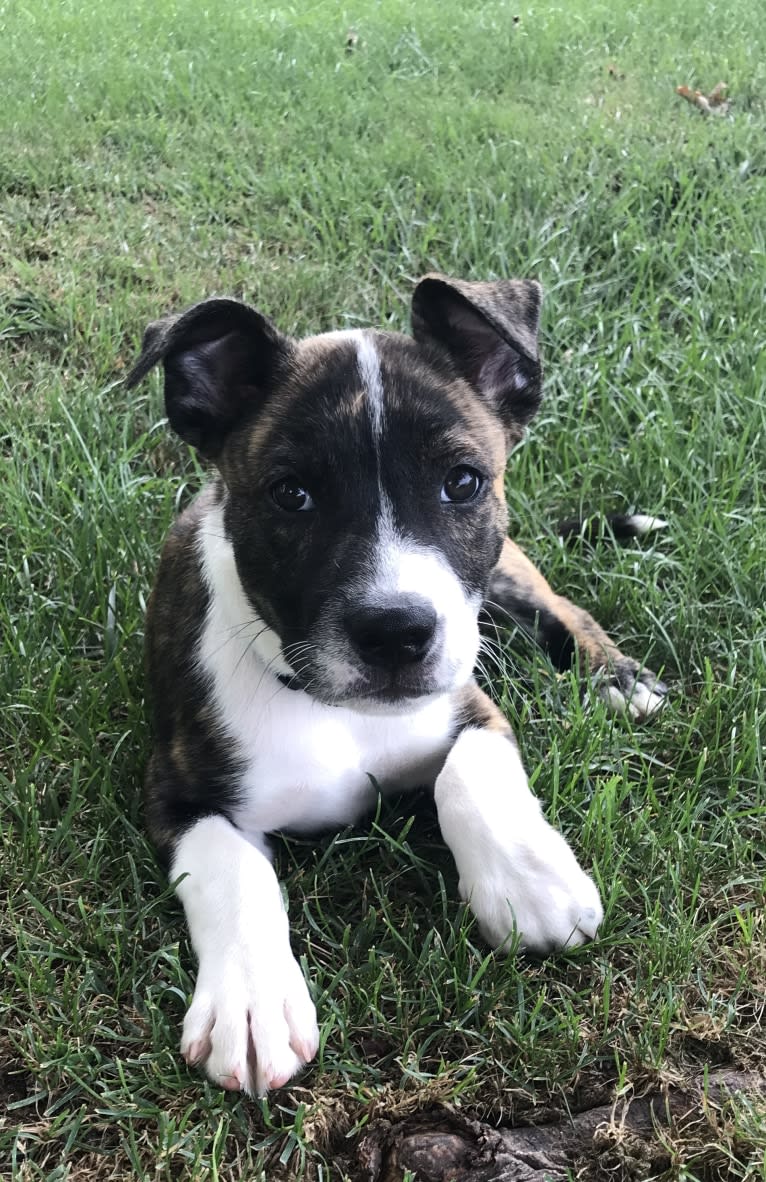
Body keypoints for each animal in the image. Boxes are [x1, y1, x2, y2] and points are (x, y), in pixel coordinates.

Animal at [127, 271, 661, 1092]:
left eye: (462, 483)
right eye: (292, 495)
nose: (396, 632)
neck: (323, 703)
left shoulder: (472, 705)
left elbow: (467, 775)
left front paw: (529, 884)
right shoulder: (173, 788)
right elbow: (231, 869)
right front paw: (251, 1002)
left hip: (508, 573)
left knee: (559, 606)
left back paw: (618, 678)